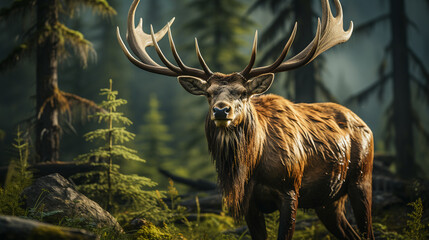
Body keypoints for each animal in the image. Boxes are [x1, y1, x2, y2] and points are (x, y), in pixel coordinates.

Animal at [115, 0, 372, 238]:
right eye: (209, 94)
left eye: (243, 92)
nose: (221, 111)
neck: (251, 167)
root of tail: (364, 124)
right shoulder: (247, 202)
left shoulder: (290, 190)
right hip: (328, 201)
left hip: (361, 179)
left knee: (366, 230)